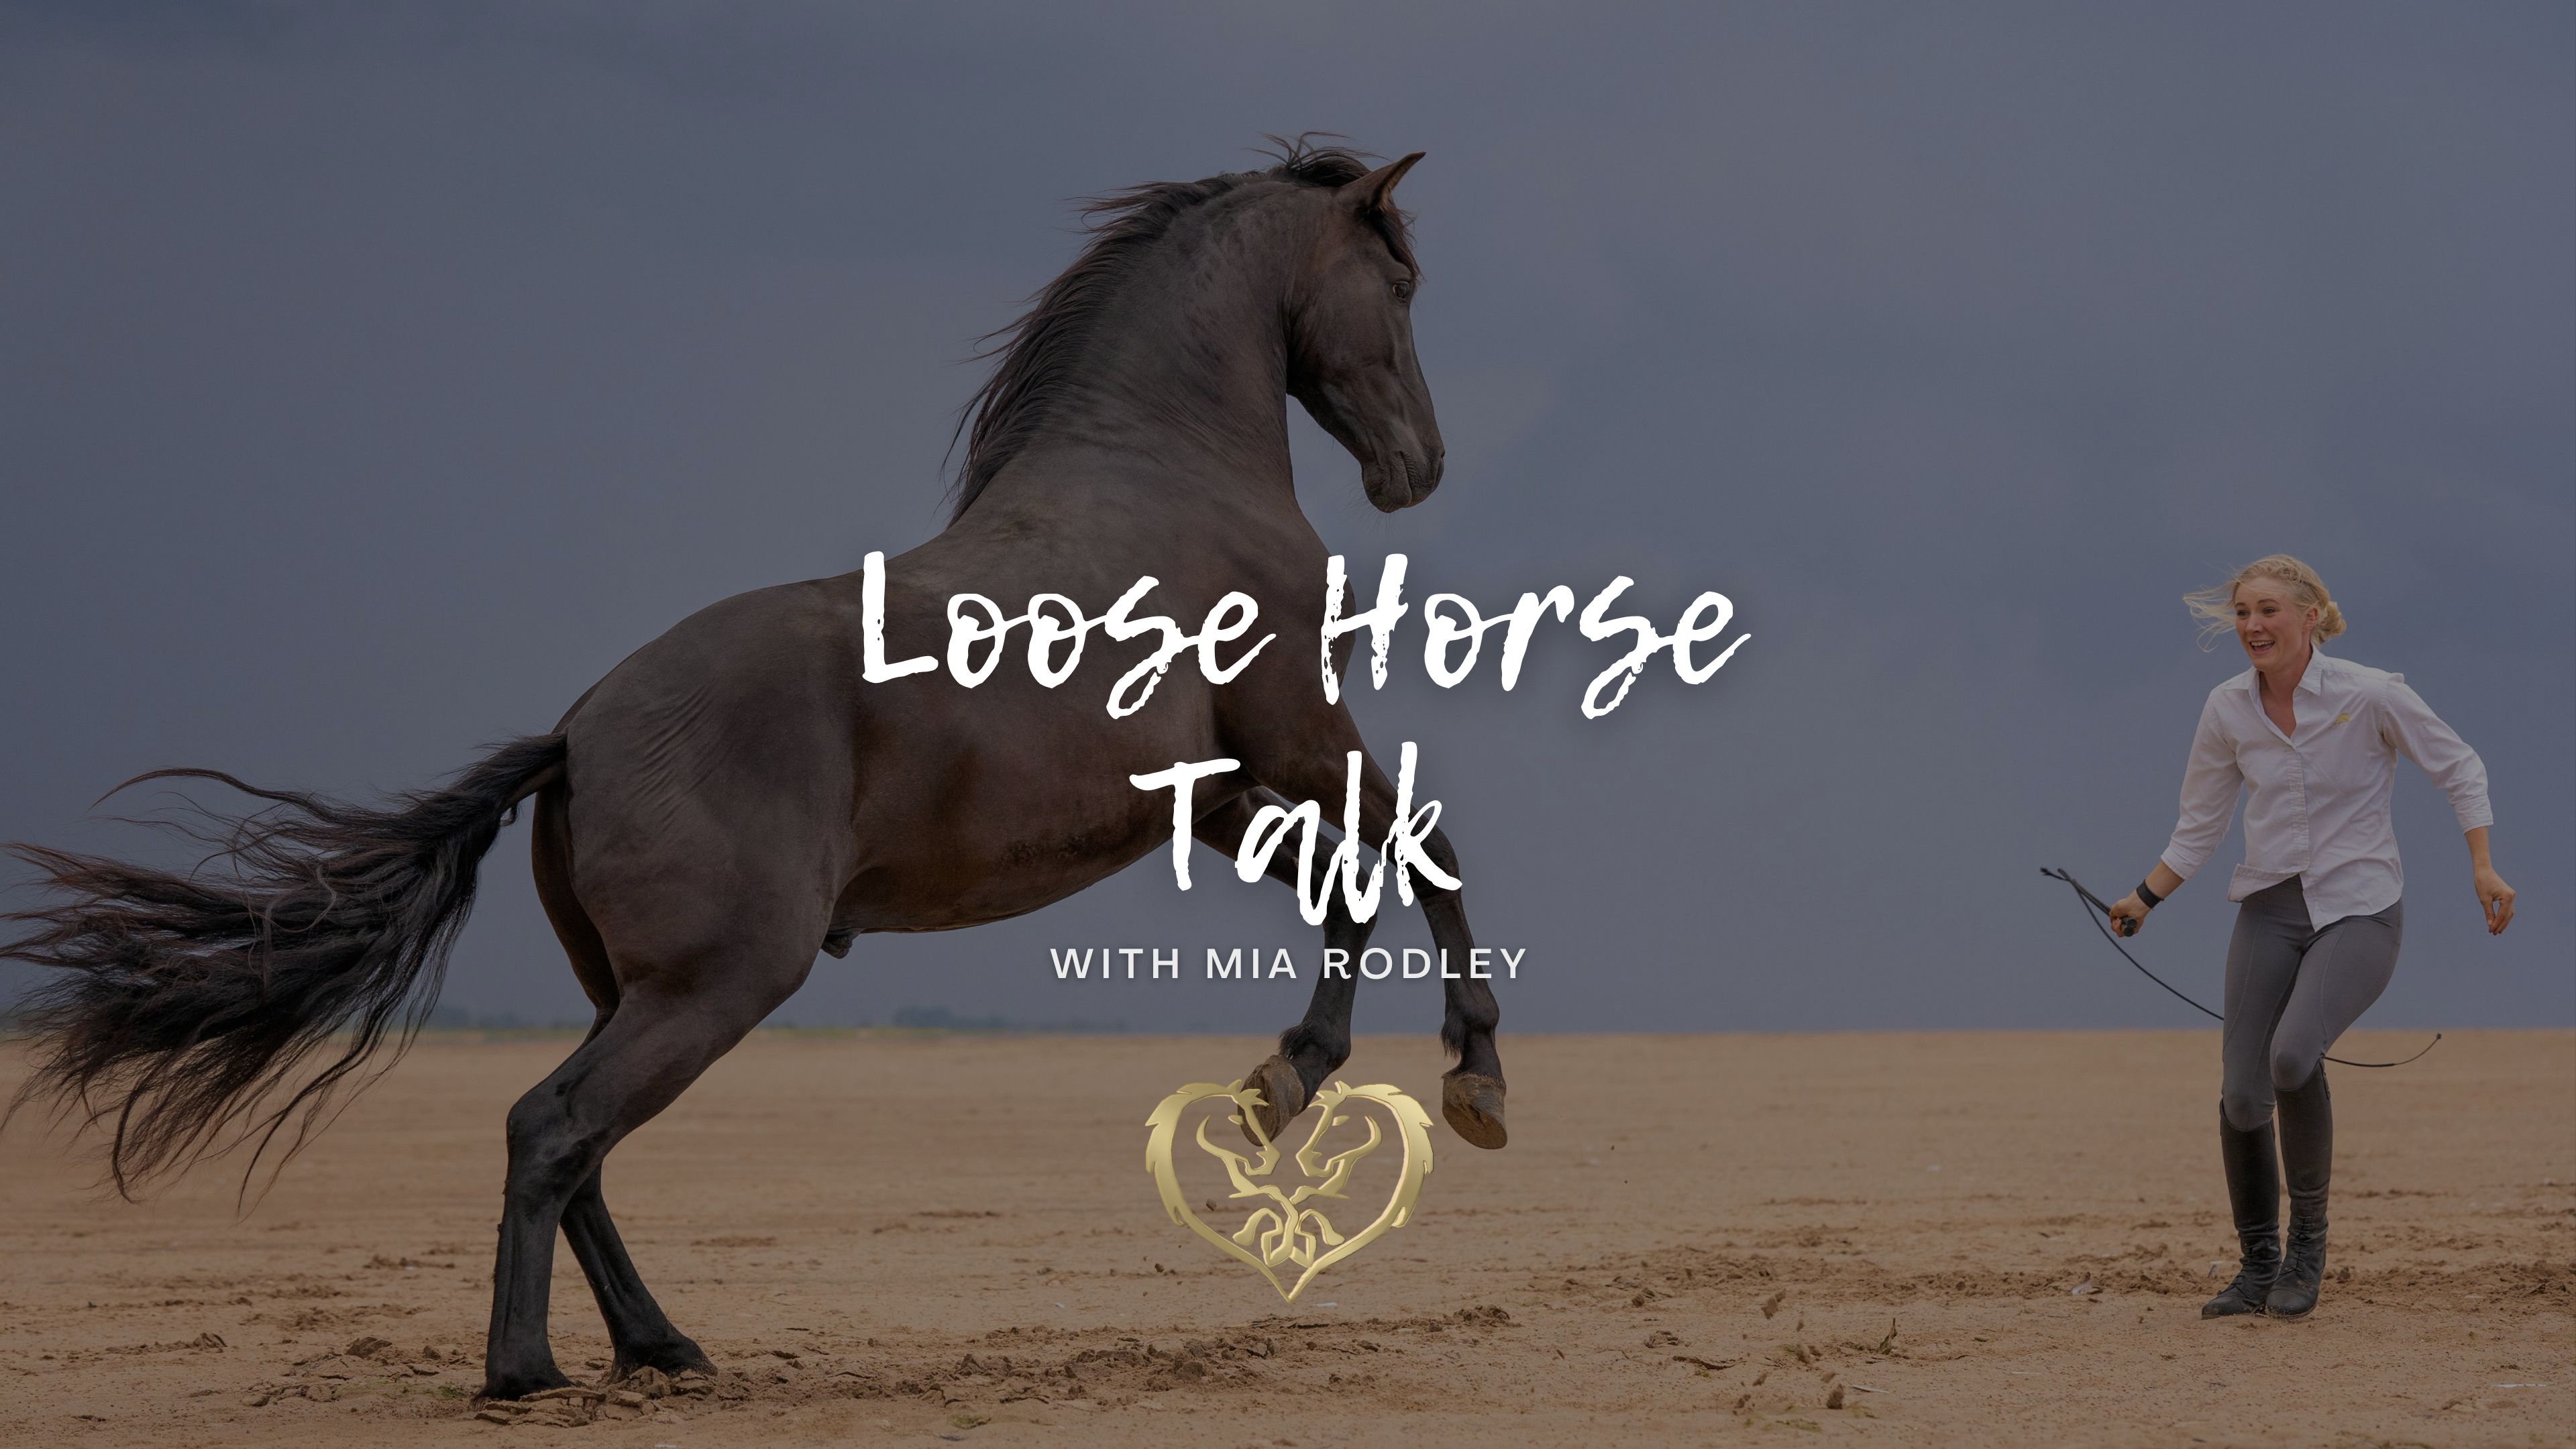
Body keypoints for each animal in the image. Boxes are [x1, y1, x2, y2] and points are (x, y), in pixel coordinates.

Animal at [2, 139, 1505, 1401]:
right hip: (720, 983)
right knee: (555, 1130)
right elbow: (1421, 847)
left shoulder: (1214, 795)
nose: (1423, 468)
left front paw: (1289, 1080)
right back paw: (527, 1372)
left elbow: (1349, 885)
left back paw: (660, 1349)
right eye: (1400, 283)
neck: (1168, 478)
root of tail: (579, 730)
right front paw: (1457, 1079)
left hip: (641, 991)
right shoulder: (1297, 735)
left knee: (574, 1145)